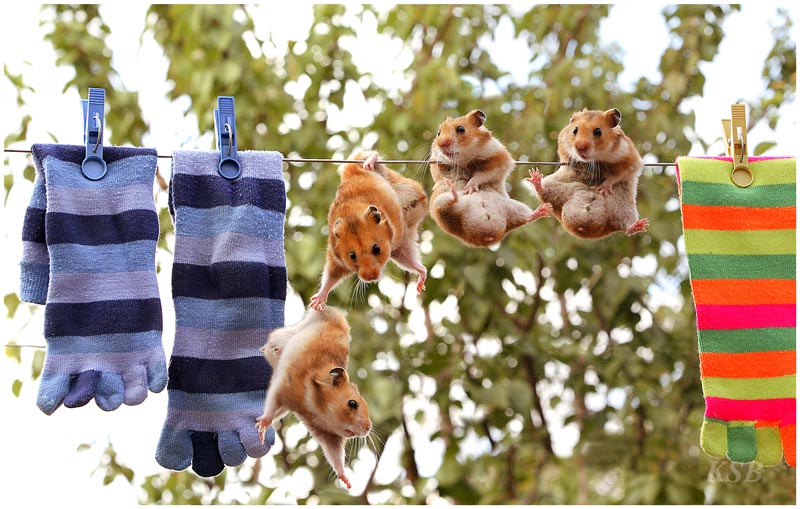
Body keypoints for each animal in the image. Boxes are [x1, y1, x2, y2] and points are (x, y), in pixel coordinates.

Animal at [255, 307, 371, 490]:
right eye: (352, 403)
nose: (369, 429)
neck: (317, 408)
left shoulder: (328, 436)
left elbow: (336, 458)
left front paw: (347, 482)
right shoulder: (282, 387)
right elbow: (271, 405)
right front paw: (262, 428)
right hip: (296, 329)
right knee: (273, 339)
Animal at [309, 150, 427, 311]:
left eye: (377, 248)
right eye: (352, 255)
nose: (370, 277)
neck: (351, 216)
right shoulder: (336, 261)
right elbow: (330, 278)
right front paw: (315, 304)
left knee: (370, 155)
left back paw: (369, 164)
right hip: (401, 247)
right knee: (417, 264)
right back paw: (421, 283)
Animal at [429, 109, 552, 247]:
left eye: (460, 129)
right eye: (439, 133)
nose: (441, 144)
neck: (465, 159)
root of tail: (486, 236)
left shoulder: (500, 159)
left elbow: (481, 175)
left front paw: (470, 187)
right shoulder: (436, 165)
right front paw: (466, 187)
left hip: (514, 208)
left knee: (528, 217)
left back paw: (542, 199)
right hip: (439, 207)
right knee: (450, 203)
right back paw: (454, 189)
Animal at [527, 108, 649, 239]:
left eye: (598, 131)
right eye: (575, 130)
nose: (580, 148)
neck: (597, 157)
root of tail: (583, 230)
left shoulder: (631, 159)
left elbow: (615, 176)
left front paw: (602, 189)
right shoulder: (562, 143)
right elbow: (567, 156)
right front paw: (574, 161)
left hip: (624, 208)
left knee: (626, 226)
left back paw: (641, 224)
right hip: (555, 187)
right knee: (543, 191)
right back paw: (535, 178)